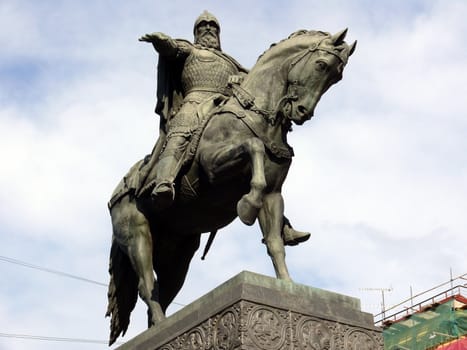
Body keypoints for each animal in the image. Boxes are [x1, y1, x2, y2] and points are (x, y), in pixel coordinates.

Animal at [105, 28, 354, 344]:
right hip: (137, 235)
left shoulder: (274, 195)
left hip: (178, 253)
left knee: (162, 290)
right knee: (147, 284)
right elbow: (254, 146)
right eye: (321, 65)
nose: (301, 111)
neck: (258, 116)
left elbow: (275, 243)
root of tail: (116, 195)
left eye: (338, 76)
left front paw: (288, 284)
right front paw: (246, 206)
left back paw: (159, 328)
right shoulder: (213, 166)